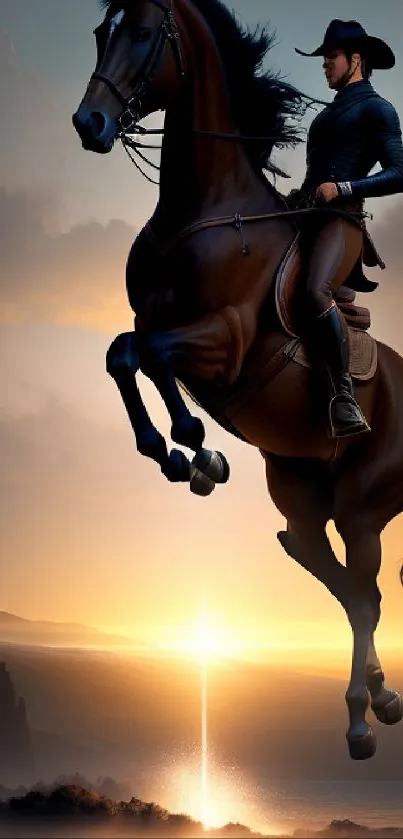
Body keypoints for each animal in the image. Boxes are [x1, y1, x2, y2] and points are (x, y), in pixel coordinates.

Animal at [73, 0, 403, 760]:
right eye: (103, 32)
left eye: (143, 33)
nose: (89, 124)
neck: (200, 212)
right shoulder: (157, 327)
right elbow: (124, 353)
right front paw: (186, 456)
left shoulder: (224, 344)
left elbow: (144, 356)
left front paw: (194, 445)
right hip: (304, 505)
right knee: (347, 587)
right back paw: (380, 697)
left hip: (364, 507)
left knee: (363, 594)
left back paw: (359, 719)